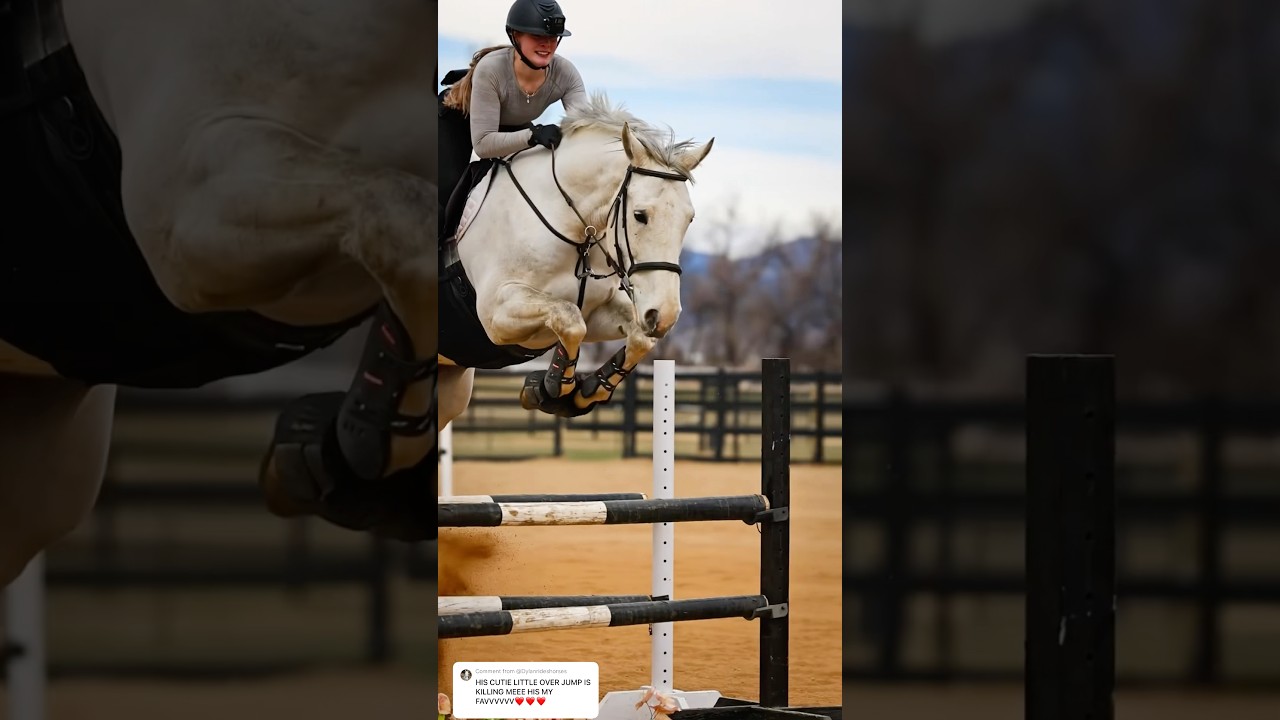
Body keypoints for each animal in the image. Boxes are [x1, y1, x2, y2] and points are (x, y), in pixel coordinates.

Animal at [437, 91, 713, 431]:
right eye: (640, 215)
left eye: (689, 219)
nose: (665, 316)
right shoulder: (496, 315)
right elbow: (569, 320)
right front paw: (553, 387)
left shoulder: (599, 311)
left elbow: (638, 339)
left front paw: (587, 391)